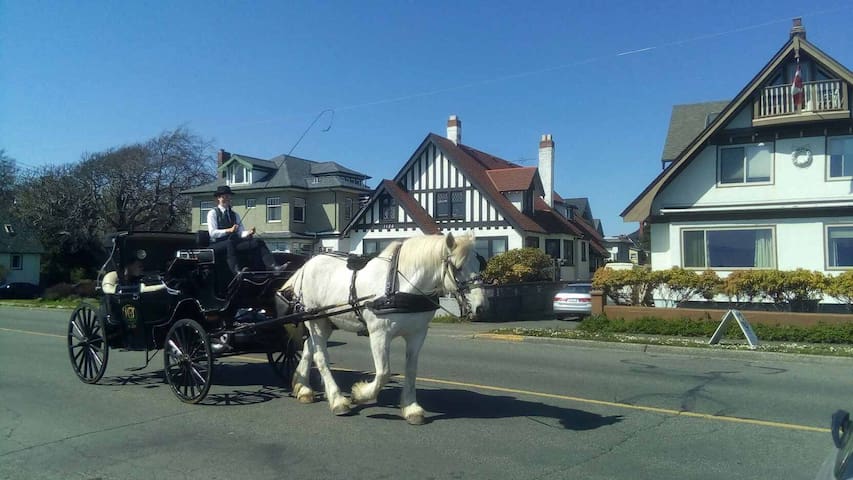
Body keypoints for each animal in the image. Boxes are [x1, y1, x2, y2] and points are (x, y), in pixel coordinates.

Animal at [282, 232, 486, 424]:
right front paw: (360, 394)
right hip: (316, 321)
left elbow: (411, 370)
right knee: (320, 356)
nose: (481, 307)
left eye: (480, 263)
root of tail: (307, 265)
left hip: (326, 322)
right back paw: (337, 400)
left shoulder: (417, 334)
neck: (401, 286)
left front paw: (411, 408)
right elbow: (383, 373)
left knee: (309, 347)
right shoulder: (379, 334)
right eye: (458, 267)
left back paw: (303, 388)